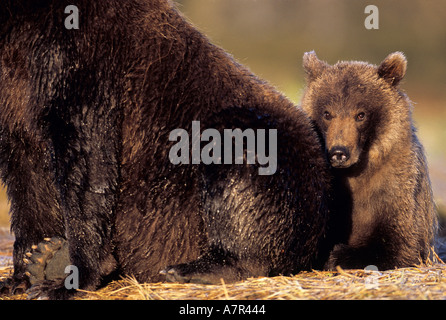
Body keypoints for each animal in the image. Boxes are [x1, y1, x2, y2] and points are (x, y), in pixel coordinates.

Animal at [0, 1, 332, 298]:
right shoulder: (16, 80)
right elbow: (26, 169)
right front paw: (25, 270)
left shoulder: (87, 56)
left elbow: (85, 150)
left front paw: (71, 279)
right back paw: (47, 258)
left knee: (236, 149)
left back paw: (195, 268)